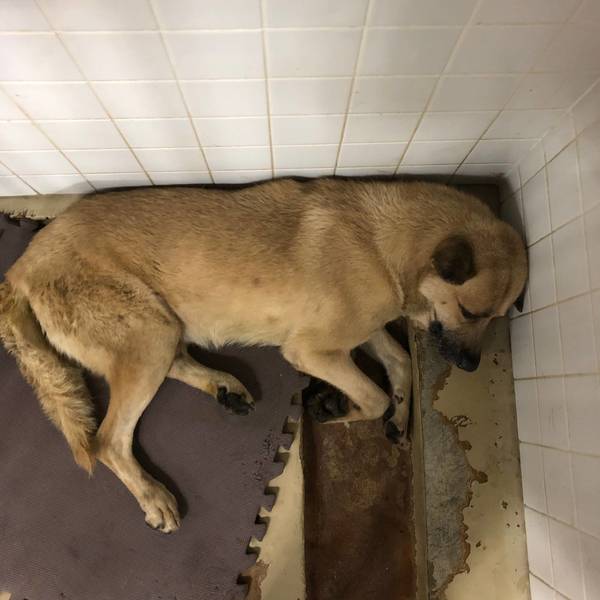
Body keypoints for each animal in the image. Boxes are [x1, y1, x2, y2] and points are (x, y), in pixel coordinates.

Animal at [0, 178, 527, 533]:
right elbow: (373, 395)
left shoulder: (362, 330)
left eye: (498, 316)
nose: (471, 366)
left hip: (160, 331)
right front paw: (337, 408)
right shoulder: (313, 350)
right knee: (109, 441)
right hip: (148, 335)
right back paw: (153, 496)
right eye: (471, 310)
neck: (390, 245)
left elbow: (399, 363)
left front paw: (399, 413)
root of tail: (21, 267)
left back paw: (225, 388)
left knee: (174, 364)